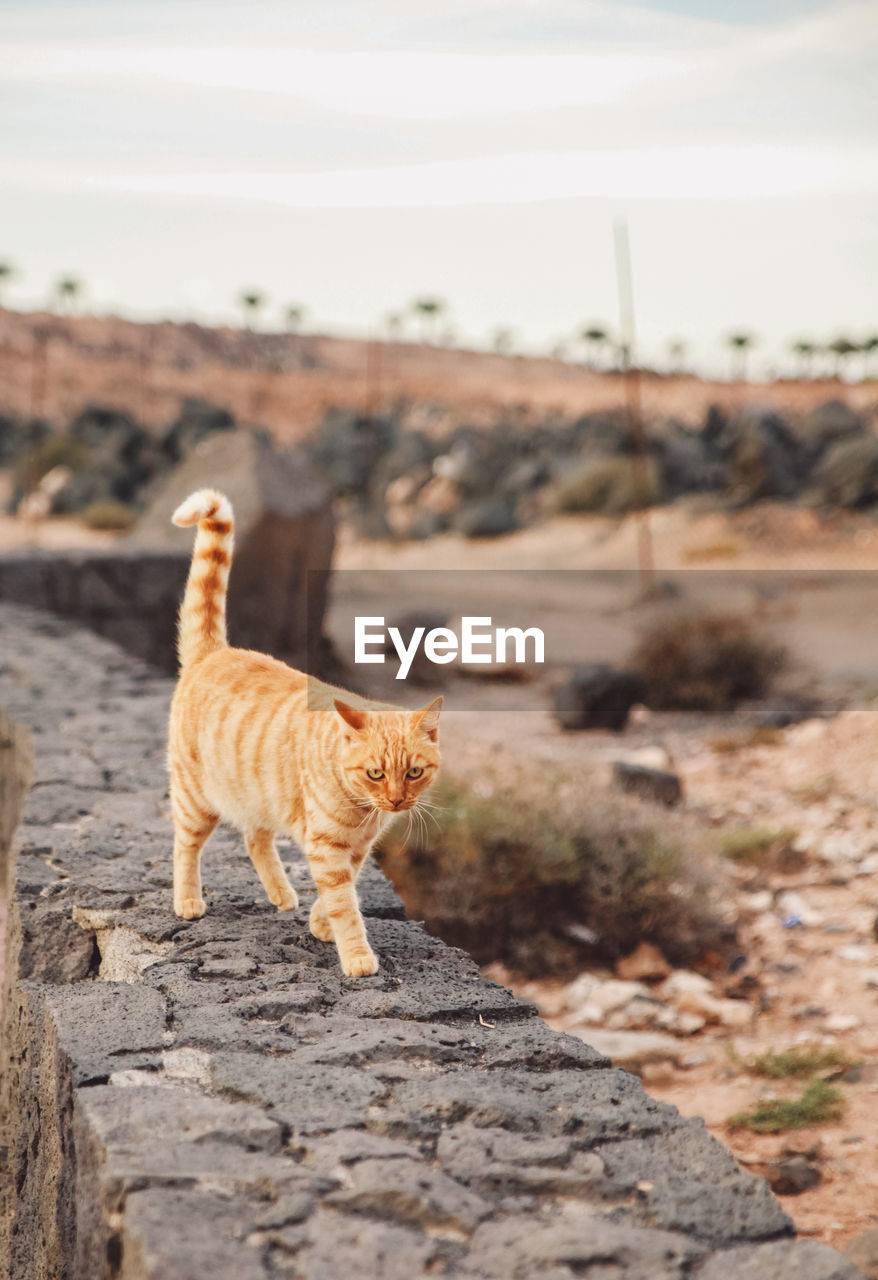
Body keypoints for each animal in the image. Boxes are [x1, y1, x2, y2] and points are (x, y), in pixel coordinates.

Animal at [166, 483, 442, 972]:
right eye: (375, 773)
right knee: (185, 847)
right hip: (197, 799)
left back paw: (282, 895)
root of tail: (216, 652)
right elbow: (344, 904)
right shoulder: (327, 846)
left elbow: (342, 892)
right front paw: (355, 956)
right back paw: (188, 900)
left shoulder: (355, 848)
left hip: (257, 794)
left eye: (414, 772)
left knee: (255, 839)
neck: (364, 811)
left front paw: (318, 922)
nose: (396, 801)